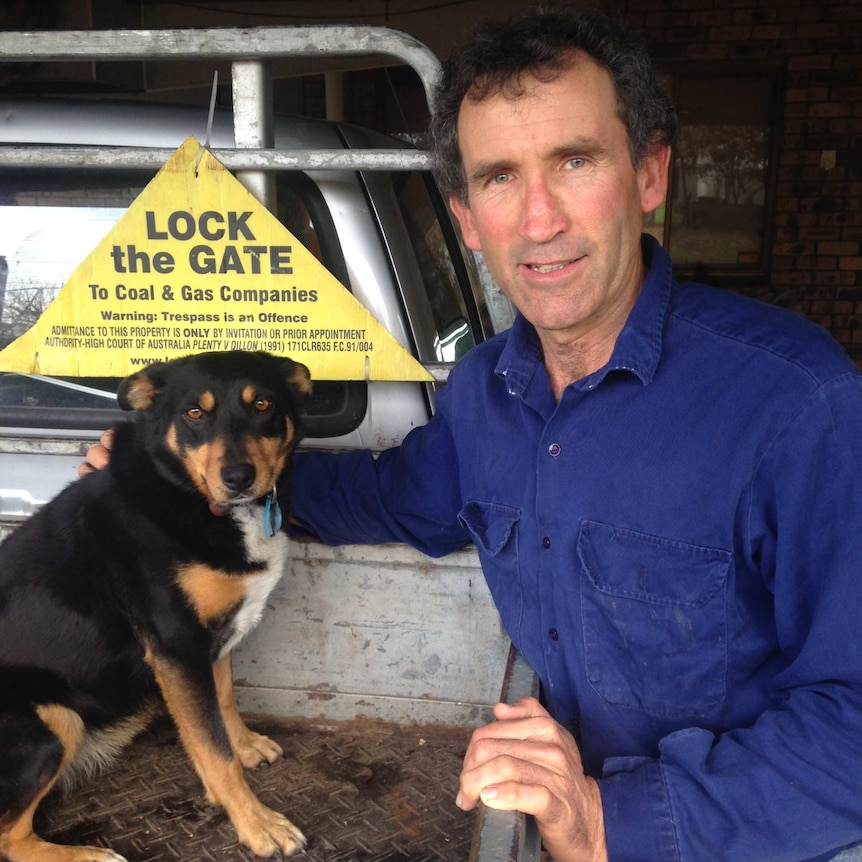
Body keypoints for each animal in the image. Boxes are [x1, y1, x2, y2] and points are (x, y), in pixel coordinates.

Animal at [0, 352, 310, 862]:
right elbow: (213, 750)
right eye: (194, 413)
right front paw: (257, 823)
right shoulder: (177, 647)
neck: (185, 490)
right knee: (10, 838)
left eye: (262, 404)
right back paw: (87, 855)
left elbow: (224, 703)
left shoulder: (211, 641)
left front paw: (245, 746)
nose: (238, 479)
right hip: (53, 719)